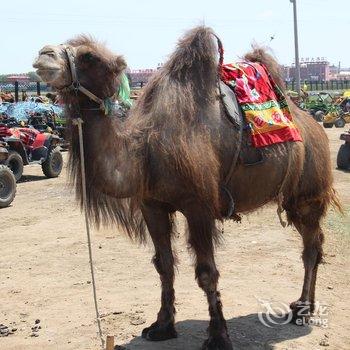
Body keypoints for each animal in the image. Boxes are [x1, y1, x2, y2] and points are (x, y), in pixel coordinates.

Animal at [34, 27, 340, 350]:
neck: (145, 153)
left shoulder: (199, 206)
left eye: (89, 57)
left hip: (308, 193)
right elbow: (164, 265)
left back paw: (302, 311)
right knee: (314, 243)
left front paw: (218, 337)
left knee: (312, 246)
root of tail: (312, 123)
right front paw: (161, 326)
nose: (44, 54)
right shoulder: (152, 205)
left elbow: (207, 273)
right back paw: (301, 306)